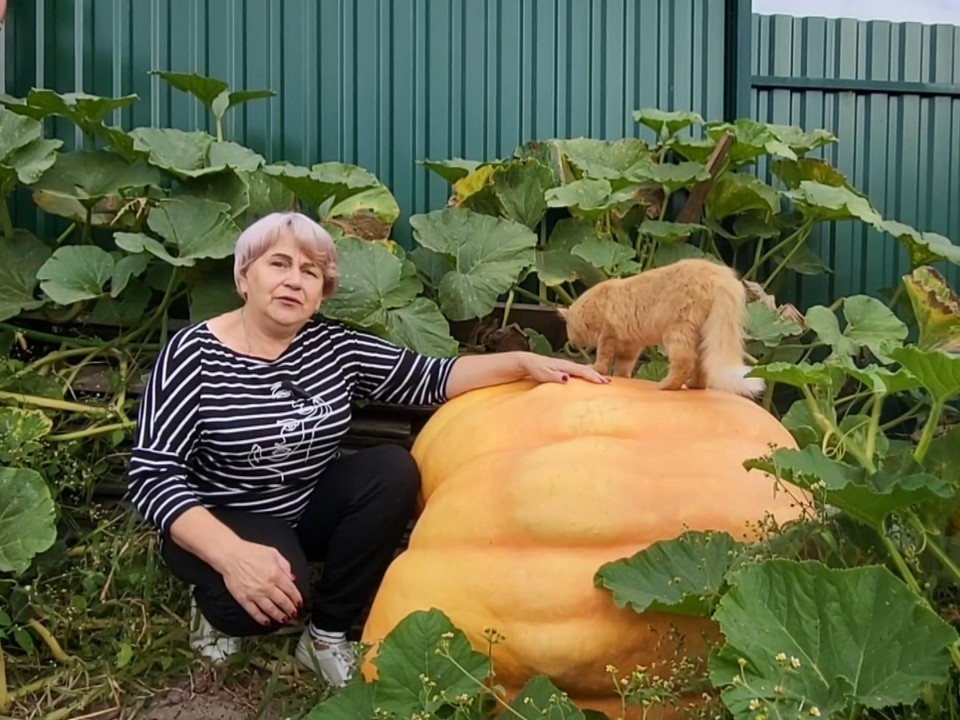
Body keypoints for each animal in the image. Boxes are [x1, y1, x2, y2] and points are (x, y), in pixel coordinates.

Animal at [556, 258, 764, 396]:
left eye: (569, 331)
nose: (572, 343)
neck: (595, 303)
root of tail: (721, 276)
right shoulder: (630, 345)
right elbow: (624, 366)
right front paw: (622, 377)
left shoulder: (608, 335)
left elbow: (603, 358)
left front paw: (597, 368)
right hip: (702, 336)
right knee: (702, 367)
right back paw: (693, 385)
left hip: (677, 331)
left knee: (684, 362)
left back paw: (665, 385)